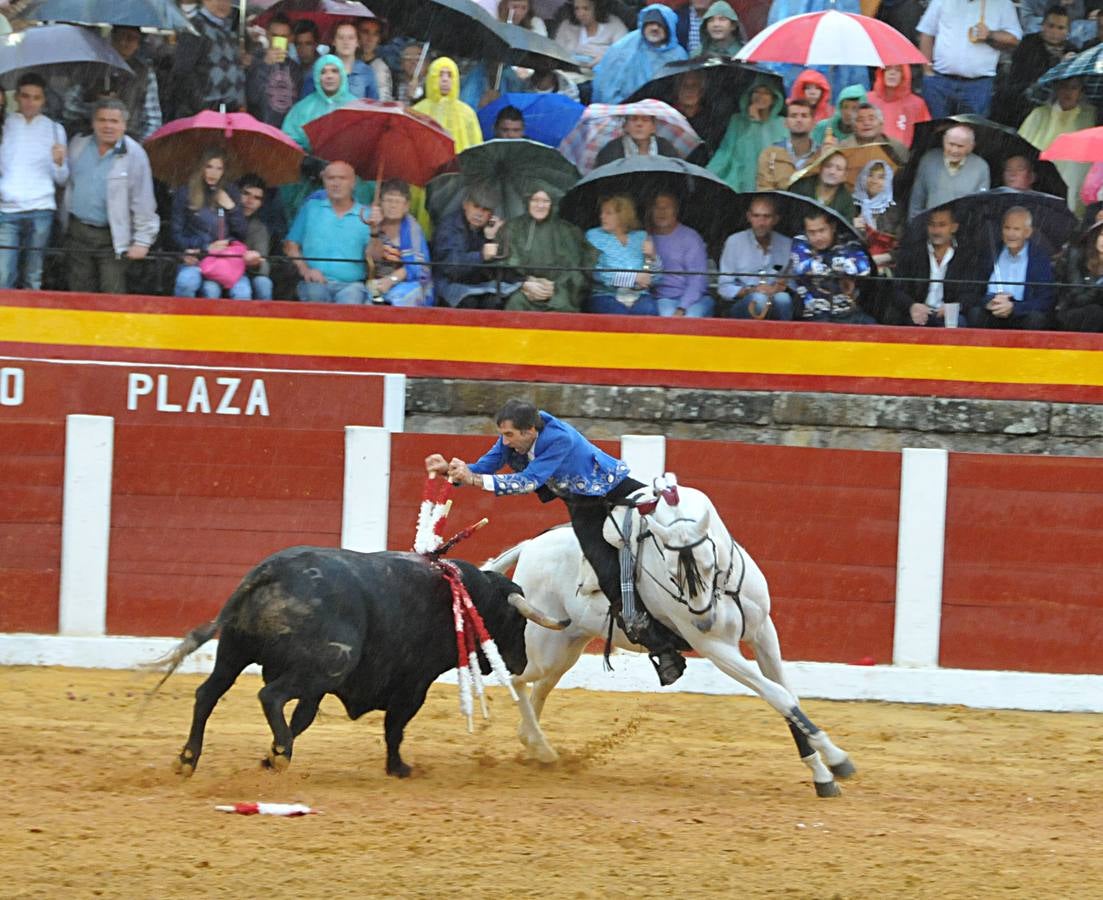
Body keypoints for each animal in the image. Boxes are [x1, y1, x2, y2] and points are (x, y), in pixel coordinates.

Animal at [148, 544, 569, 776]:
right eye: (516, 620)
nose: (519, 664)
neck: (465, 596)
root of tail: (271, 572)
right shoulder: (412, 685)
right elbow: (394, 727)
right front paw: (398, 768)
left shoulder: (320, 690)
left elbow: (304, 718)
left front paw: (267, 758)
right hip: (325, 664)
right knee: (270, 696)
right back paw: (281, 754)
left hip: (234, 653)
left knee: (207, 694)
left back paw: (188, 759)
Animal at [487, 478, 855, 794]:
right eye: (670, 572)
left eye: (709, 561)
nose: (705, 621)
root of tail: (531, 546)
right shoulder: (717, 648)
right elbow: (777, 695)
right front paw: (837, 761)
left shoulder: (764, 631)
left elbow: (787, 695)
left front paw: (822, 774)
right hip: (543, 644)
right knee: (515, 678)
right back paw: (540, 746)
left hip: (566, 647)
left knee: (539, 687)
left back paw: (536, 745)